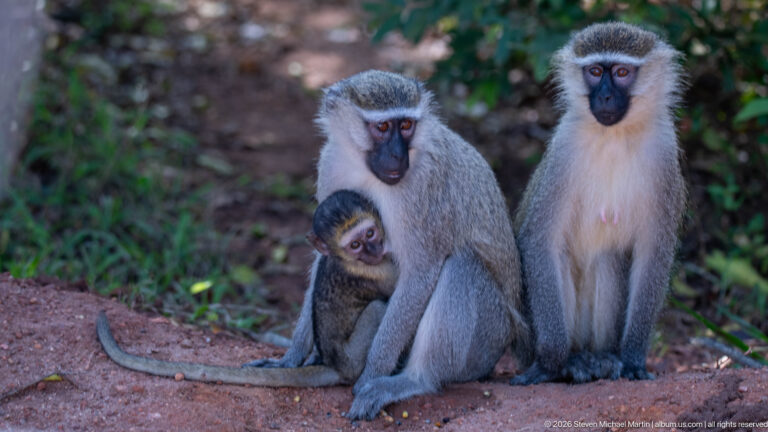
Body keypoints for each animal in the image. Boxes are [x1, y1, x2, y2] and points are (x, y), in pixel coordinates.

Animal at [96, 191, 398, 387]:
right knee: (377, 307)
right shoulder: (373, 269)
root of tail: (334, 365)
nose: (374, 249)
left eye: (370, 233)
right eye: (355, 245)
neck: (342, 258)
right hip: (353, 357)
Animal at [244, 70, 529, 420]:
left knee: (462, 266)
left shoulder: (421, 189)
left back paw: (414, 380)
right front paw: (292, 357)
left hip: (487, 341)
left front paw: (371, 375)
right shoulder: (331, 163)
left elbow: (420, 273)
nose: (397, 155)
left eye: (405, 125)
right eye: (381, 128)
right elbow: (323, 256)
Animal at [510, 22, 686, 385]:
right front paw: (551, 363)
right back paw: (571, 361)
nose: (604, 96)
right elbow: (540, 240)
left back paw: (602, 358)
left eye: (621, 73)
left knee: (608, 260)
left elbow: (653, 252)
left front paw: (632, 358)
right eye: (594, 72)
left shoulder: (664, 152)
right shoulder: (564, 149)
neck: (614, 136)